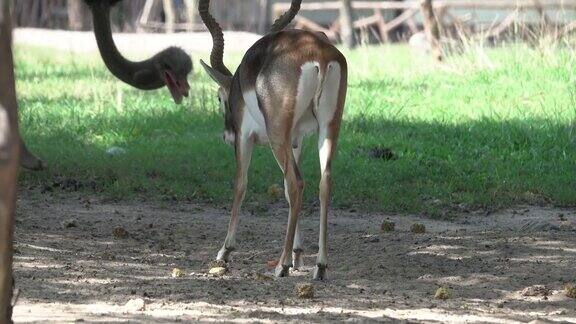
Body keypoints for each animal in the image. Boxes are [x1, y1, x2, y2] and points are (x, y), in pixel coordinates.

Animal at [199, 0, 346, 278]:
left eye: (219, 98)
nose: (226, 135)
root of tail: (320, 56)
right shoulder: (296, 139)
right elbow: (287, 193)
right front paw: (299, 254)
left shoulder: (245, 137)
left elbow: (240, 184)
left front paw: (225, 251)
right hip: (329, 126)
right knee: (324, 181)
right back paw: (319, 266)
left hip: (278, 135)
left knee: (296, 182)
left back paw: (281, 265)